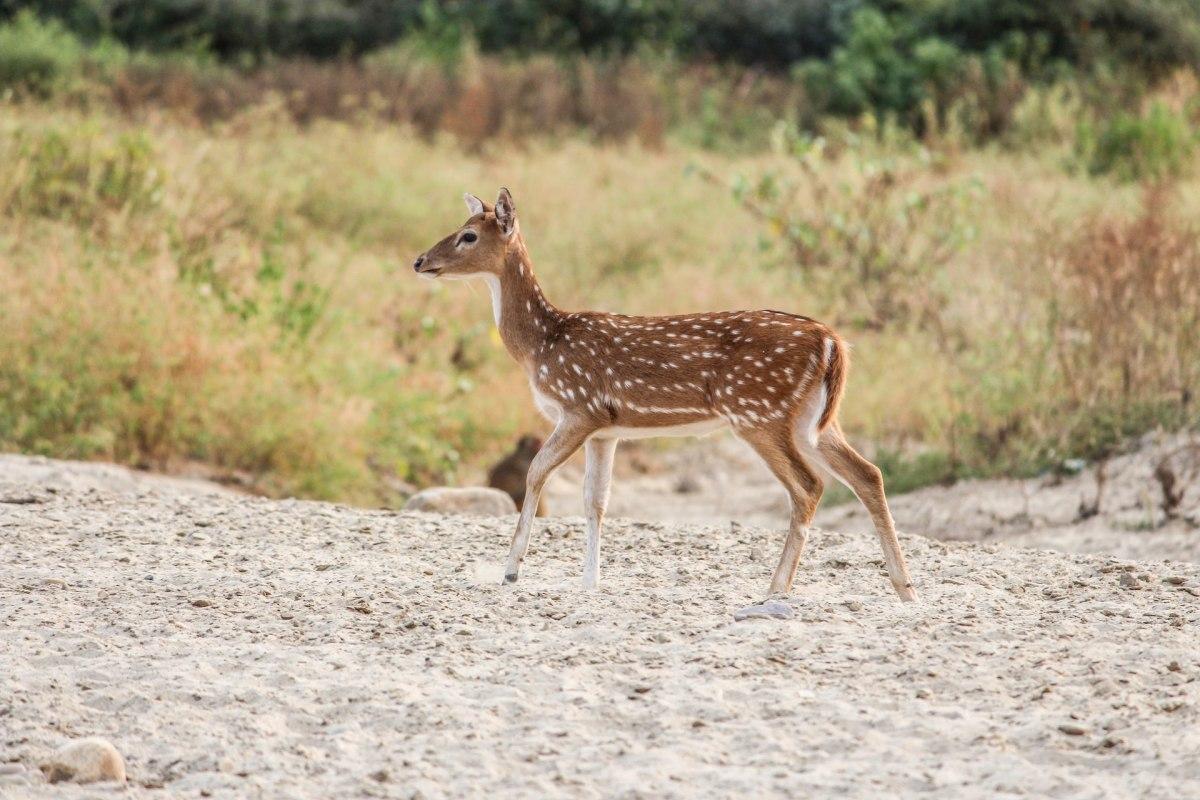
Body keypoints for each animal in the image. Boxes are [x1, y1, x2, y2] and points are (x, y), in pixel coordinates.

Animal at [412, 188, 916, 599]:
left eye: (468, 236)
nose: (419, 261)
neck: (541, 345)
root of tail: (832, 342)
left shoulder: (580, 407)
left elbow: (537, 473)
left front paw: (512, 570)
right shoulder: (606, 429)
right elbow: (596, 501)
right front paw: (590, 581)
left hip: (758, 412)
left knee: (809, 486)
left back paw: (776, 588)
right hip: (816, 419)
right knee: (868, 473)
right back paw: (904, 588)